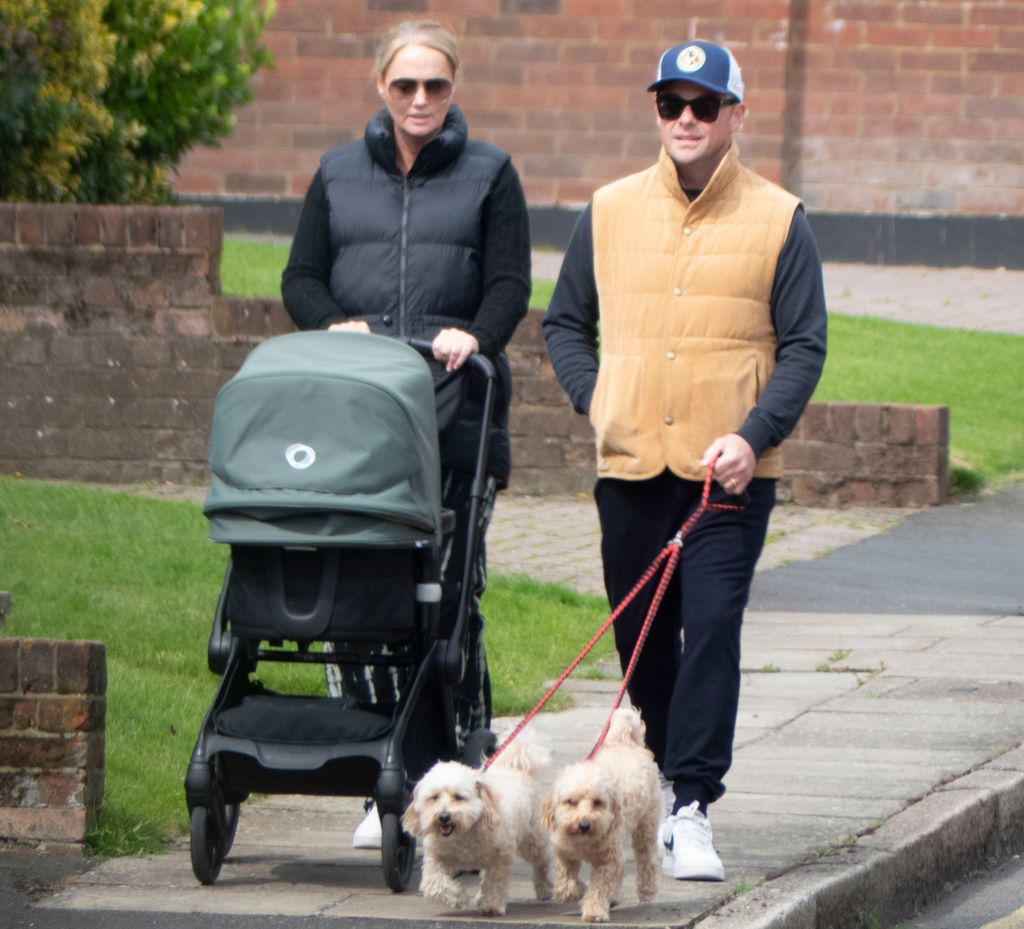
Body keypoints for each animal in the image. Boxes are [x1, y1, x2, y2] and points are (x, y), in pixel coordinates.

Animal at [403, 737, 557, 917]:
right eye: (434, 797)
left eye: (459, 797)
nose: (444, 817)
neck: (464, 832)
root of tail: (516, 767)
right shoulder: (434, 858)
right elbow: (434, 885)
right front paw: (460, 899)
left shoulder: (501, 856)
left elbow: (495, 882)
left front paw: (492, 905)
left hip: (532, 839)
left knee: (542, 860)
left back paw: (544, 888)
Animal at [544, 708, 663, 917]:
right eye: (571, 802)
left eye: (598, 802)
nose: (584, 825)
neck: (584, 842)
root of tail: (626, 744)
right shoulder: (564, 854)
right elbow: (565, 888)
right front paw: (580, 889)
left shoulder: (607, 860)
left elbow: (598, 888)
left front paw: (594, 910)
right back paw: (613, 896)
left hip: (645, 826)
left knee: (647, 858)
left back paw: (647, 889)